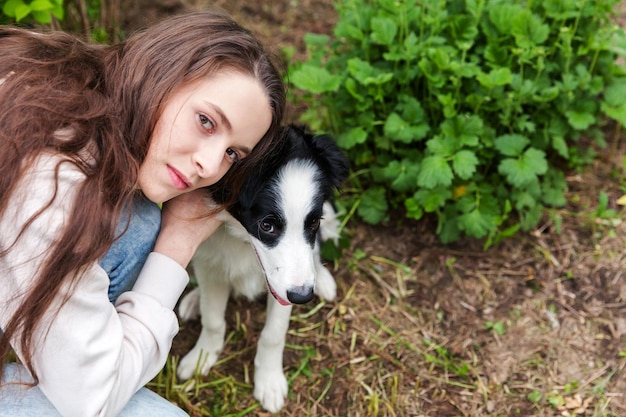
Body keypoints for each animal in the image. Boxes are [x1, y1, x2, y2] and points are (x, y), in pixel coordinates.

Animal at [177, 125, 346, 412]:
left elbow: (273, 334)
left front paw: (269, 382)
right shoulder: (210, 261)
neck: (243, 240)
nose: (303, 297)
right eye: (267, 225)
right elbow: (212, 318)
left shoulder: (284, 285)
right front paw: (202, 356)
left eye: (312, 223)